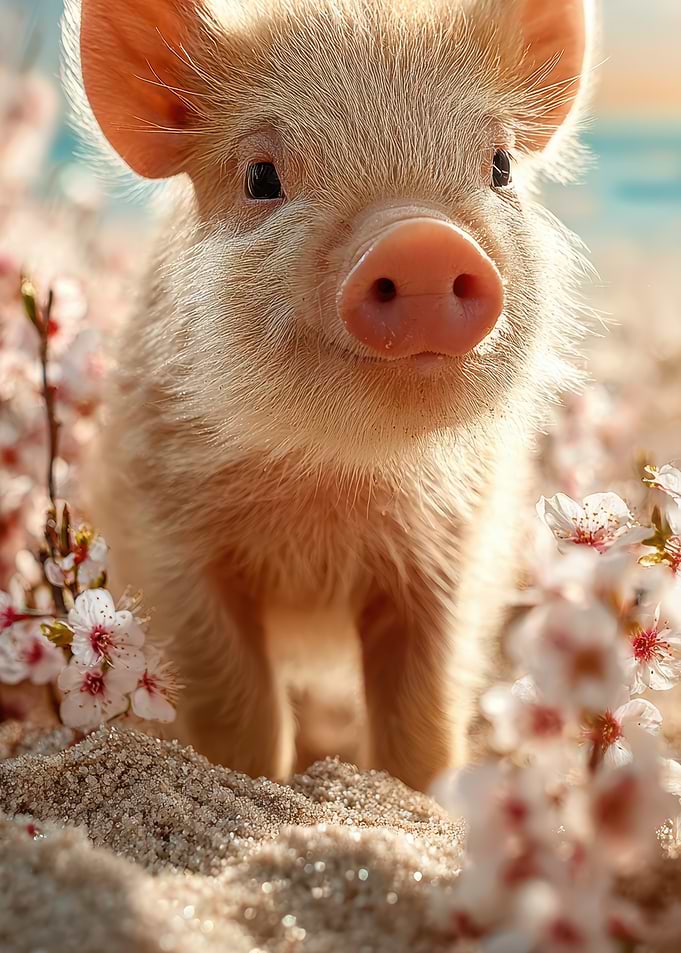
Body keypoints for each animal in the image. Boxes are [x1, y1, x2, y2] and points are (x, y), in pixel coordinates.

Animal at [65, 0, 594, 791]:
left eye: (499, 166)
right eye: (260, 177)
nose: (423, 241)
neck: (330, 483)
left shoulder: (456, 545)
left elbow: (423, 714)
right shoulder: (162, 537)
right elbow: (235, 704)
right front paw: (261, 782)